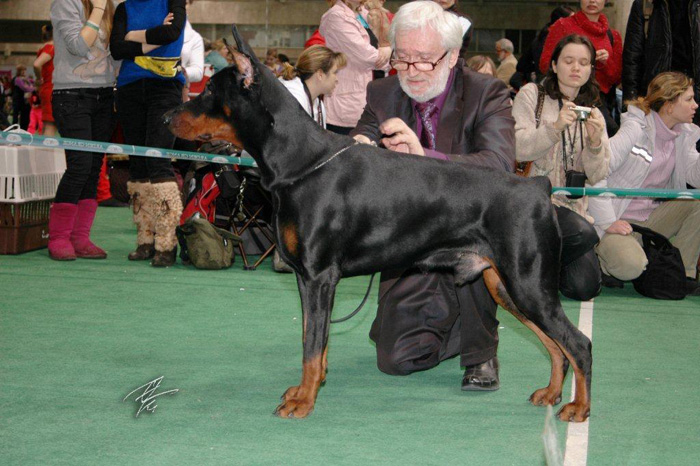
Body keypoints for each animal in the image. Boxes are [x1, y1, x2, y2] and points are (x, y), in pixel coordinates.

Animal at [166, 26, 592, 422]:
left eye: (208, 92)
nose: (167, 115)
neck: (300, 162)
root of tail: (539, 187)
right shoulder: (306, 278)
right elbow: (313, 339)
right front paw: (308, 388)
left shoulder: (320, 276)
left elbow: (311, 345)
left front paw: (304, 401)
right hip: (504, 283)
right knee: (555, 344)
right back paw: (551, 394)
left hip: (528, 282)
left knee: (578, 344)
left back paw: (578, 407)